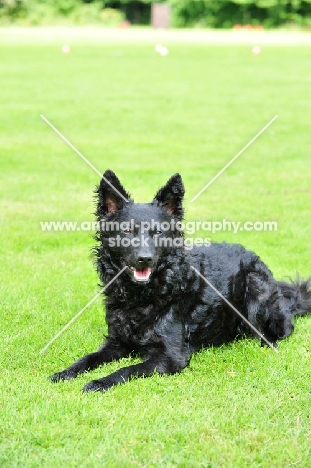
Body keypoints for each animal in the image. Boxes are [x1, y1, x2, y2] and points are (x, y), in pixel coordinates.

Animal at [51, 171, 311, 392]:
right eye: (127, 231)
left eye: (157, 232)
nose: (144, 258)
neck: (142, 295)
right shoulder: (116, 343)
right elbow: (89, 357)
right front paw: (66, 372)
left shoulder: (170, 356)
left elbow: (127, 369)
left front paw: (99, 382)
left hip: (256, 289)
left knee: (281, 330)